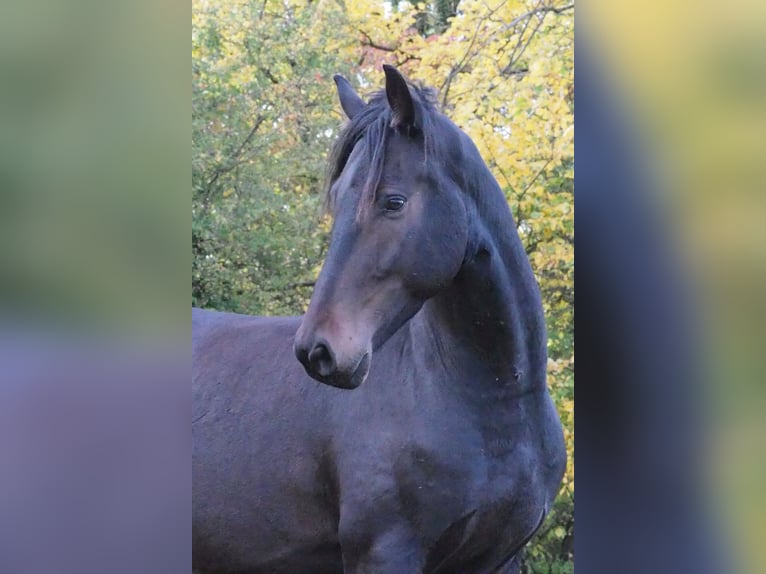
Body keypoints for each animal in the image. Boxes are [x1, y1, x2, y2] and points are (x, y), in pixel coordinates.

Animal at [192, 65, 566, 573]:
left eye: (393, 202)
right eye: (336, 200)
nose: (317, 351)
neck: (495, 405)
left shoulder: (500, 559)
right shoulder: (385, 552)